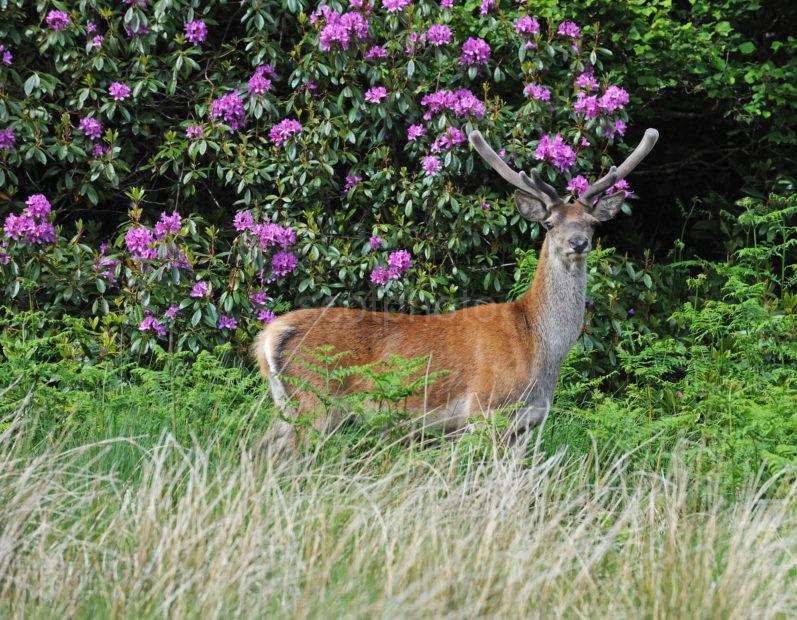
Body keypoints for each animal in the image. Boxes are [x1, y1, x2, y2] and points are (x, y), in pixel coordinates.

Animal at [255, 127, 660, 456]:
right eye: (548, 223)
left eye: (591, 223)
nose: (578, 243)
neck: (538, 345)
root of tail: (270, 335)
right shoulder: (485, 409)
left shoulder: (528, 423)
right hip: (315, 402)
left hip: (288, 408)